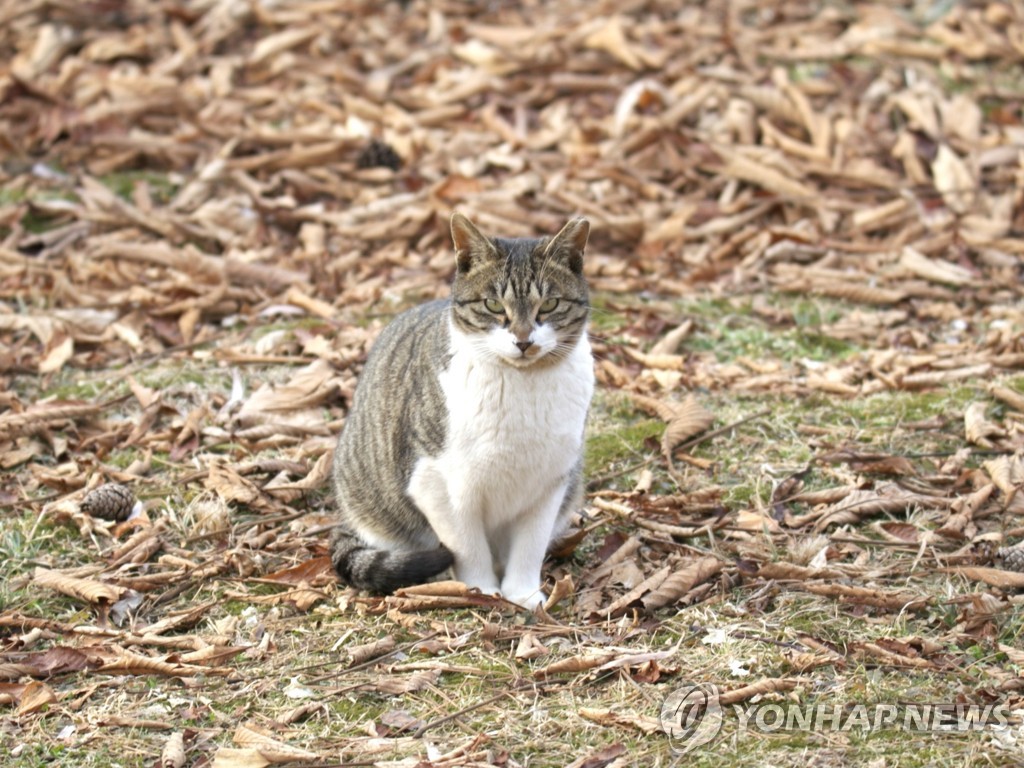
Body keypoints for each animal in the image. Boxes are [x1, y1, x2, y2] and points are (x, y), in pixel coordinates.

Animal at [331, 214, 598, 610]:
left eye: (549, 304)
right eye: (493, 305)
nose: (523, 340)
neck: (523, 384)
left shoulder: (551, 480)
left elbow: (530, 546)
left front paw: (523, 595)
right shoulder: (436, 483)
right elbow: (467, 547)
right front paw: (482, 591)